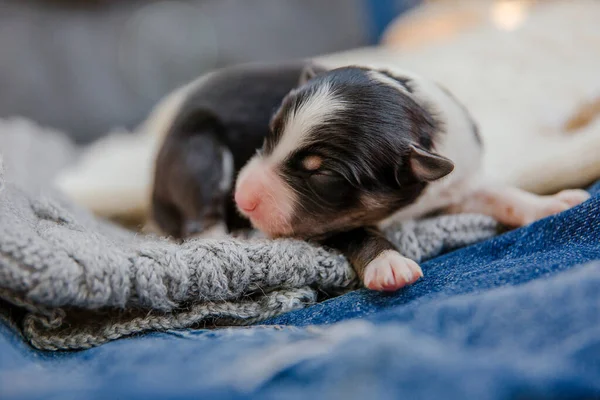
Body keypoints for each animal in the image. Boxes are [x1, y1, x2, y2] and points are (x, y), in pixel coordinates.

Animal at [236, 64, 592, 292]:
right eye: (269, 136)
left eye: (322, 174)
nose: (242, 199)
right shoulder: (328, 223)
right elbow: (358, 233)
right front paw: (388, 263)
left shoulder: (457, 186)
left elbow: (500, 195)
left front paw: (551, 204)